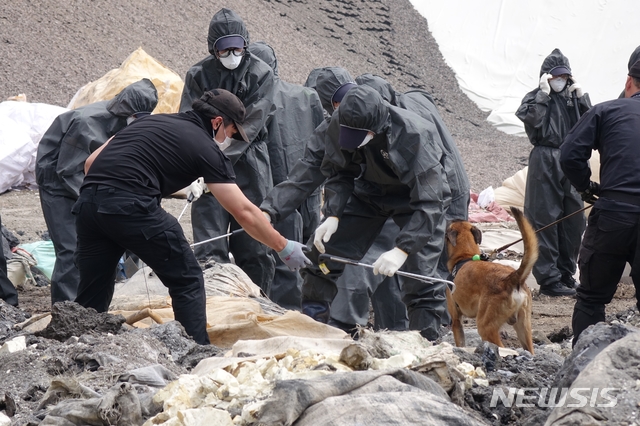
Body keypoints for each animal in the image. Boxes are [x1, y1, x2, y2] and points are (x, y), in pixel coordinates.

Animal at [448, 206, 536, 352]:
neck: (465, 255)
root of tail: (511, 278)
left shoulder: (456, 321)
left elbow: (460, 342)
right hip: (524, 328)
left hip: (486, 328)